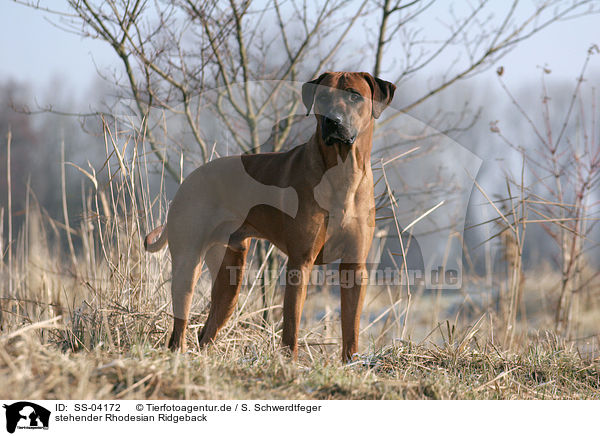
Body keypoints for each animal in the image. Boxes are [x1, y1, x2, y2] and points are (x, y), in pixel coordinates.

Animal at [145, 72, 396, 362]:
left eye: (354, 95)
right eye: (322, 96)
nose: (332, 121)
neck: (343, 172)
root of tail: (189, 179)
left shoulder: (355, 267)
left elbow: (351, 327)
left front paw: (351, 363)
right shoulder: (300, 262)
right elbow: (292, 326)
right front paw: (291, 363)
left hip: (229, 278)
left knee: (207, 330)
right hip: (188, 264)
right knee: (178, 331)